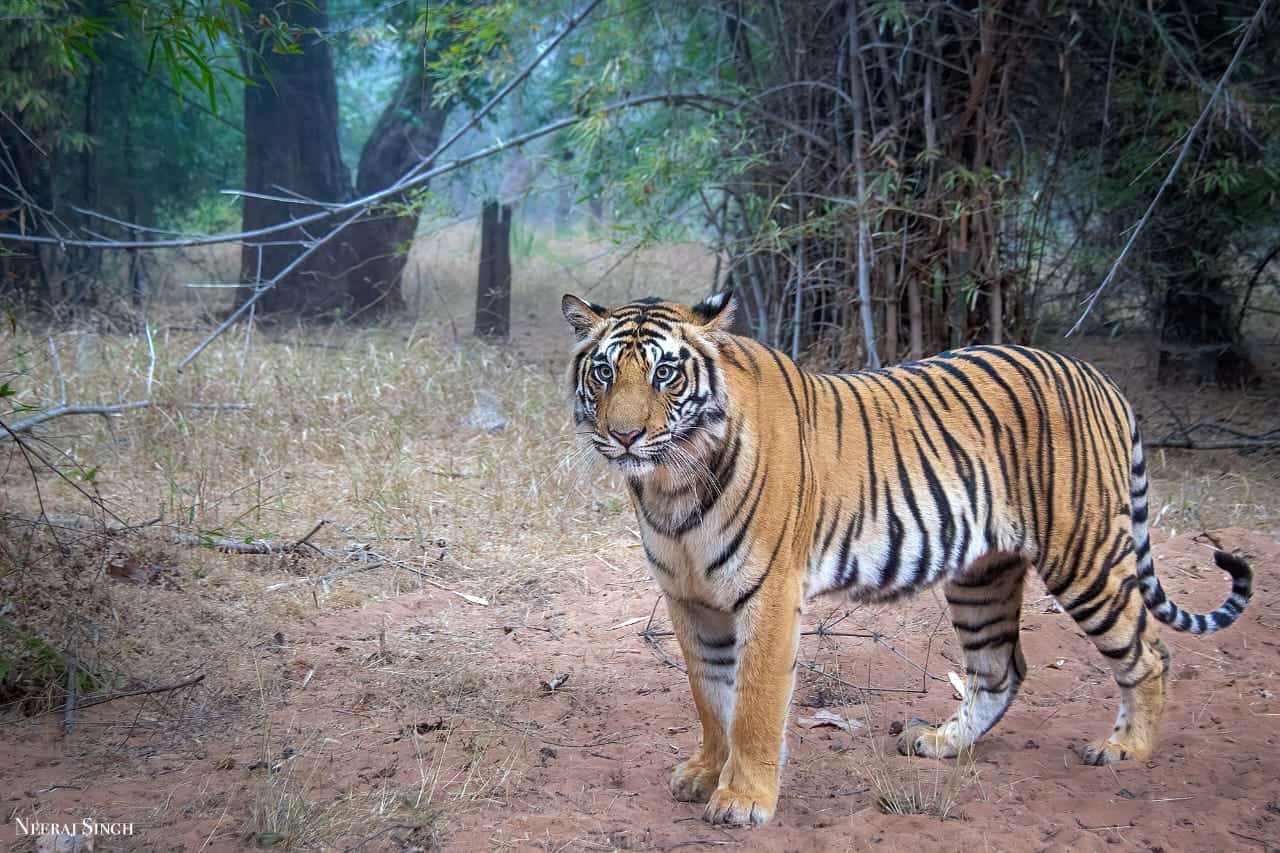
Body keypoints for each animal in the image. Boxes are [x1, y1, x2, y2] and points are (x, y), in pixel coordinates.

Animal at [561, 291, 1253, 827]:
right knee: (1000, 669)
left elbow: (754, 703)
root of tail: (1097, 376)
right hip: (982, 577)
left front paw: (744, 801)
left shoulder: (769, 595)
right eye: (604, 374)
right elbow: (710, 697)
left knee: (1149, 654)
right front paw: (708, 774)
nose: (625, 435)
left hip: (1084, 557)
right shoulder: (690, 599)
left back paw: (1125, 749)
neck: (670, 485)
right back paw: (942, 742)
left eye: (664, 374)